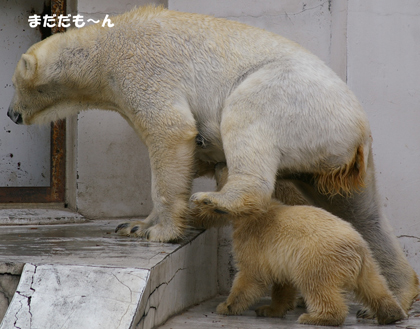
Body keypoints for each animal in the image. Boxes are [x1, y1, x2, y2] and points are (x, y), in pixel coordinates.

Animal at [208, 164, 406, 326]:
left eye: (226, 168)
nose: (216, 166)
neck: (255, 214)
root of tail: (356, 249)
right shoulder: (280, 256)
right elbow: (283, 283)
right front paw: (269, 309)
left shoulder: (254, 241)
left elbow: (251, 275)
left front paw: (226, 306)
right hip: (368, 262)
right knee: (374, 285)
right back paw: (391, 314)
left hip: (317, 259)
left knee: (316, 286)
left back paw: (314, 317)